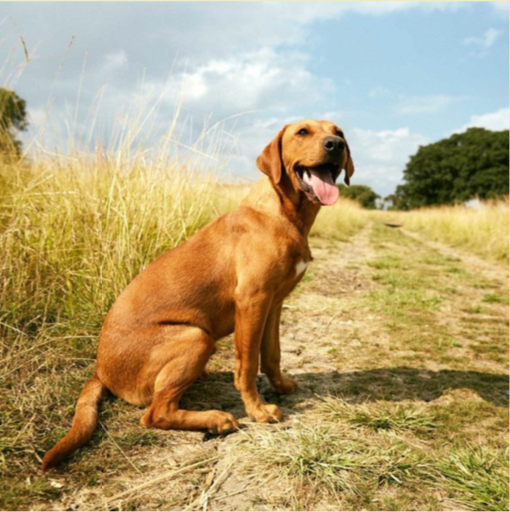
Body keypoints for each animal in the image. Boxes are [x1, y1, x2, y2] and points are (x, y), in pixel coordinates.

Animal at [41, 120, 354, 472]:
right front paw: (258, 410)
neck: (285, 214)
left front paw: (281, 387)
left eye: (339, 132)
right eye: (302, 132)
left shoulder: (274, 303)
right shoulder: (252, 301)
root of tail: (100, 371)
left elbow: (272, 354)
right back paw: (216, 419)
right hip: (196, 336)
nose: (335, 145)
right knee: (154, 414)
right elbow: (248, 364)